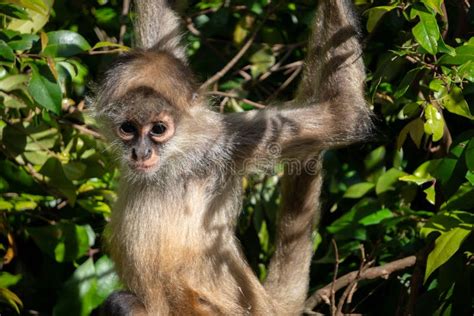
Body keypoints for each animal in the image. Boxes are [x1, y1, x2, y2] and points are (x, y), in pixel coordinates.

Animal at [95, 0, 370, 314]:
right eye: (128, 128)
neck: (171, 162)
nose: (141, 152)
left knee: (123, 301)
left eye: (158, 129)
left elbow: (344, 114)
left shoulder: (221, 142)